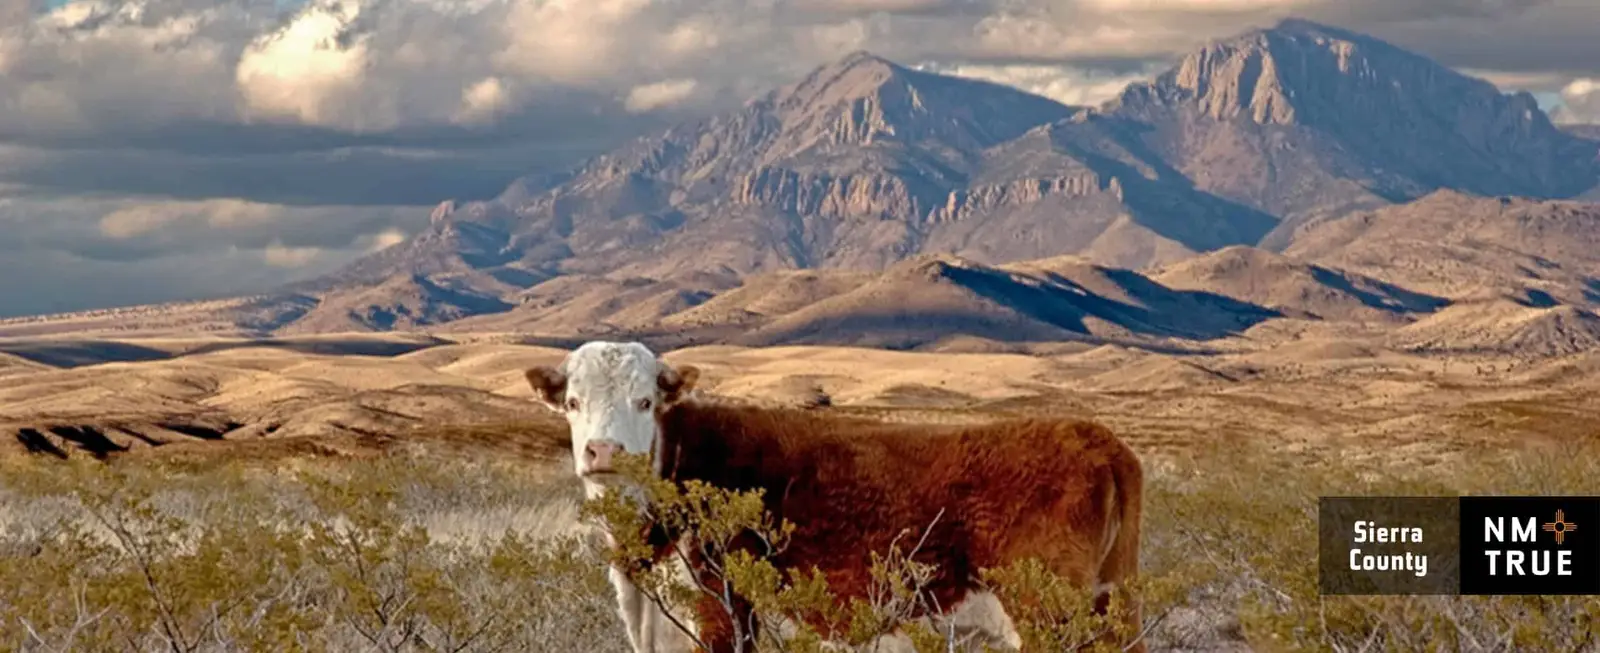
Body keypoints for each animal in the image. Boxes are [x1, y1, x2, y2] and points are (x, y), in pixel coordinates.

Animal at [525, 341, 1145, 653]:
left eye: (645, 401)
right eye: (574, 402)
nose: (604, 451)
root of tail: (1097, 437)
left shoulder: (722, 613)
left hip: (1049, 613)